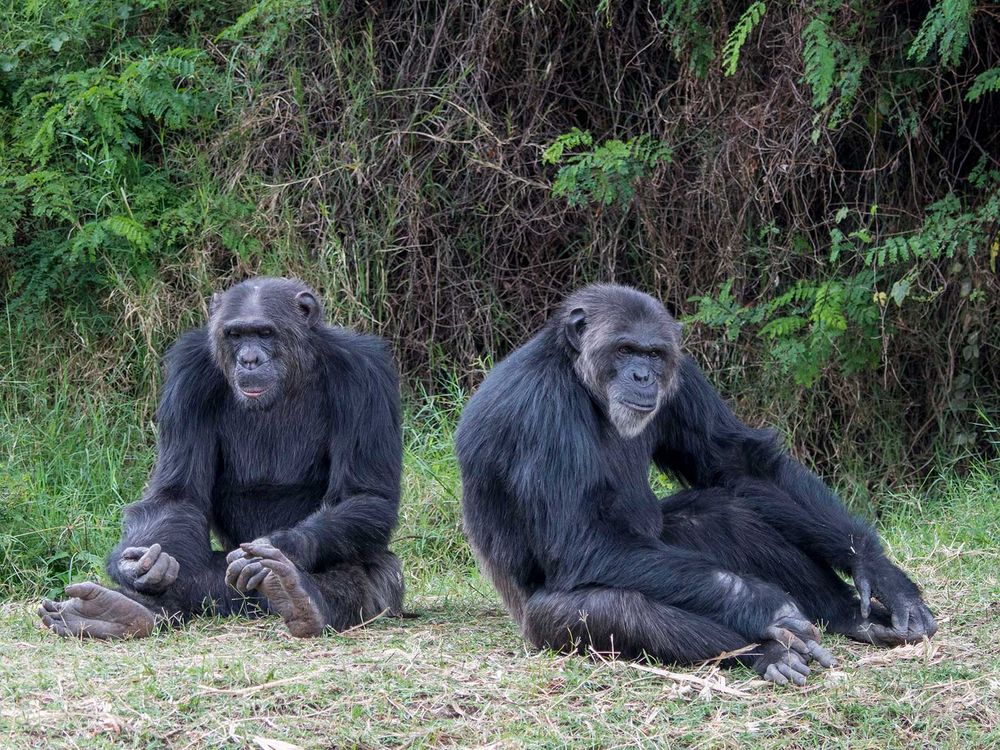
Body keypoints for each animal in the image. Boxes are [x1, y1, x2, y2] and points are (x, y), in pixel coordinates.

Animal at [38, 276, 406, 640]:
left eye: (265, 333)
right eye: (236, 335)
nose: (249, 359)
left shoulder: (365, 375)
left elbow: (365, 494)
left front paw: (278, 546)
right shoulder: (188, 377)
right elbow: (176, 495)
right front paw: (140, 565)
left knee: (369, 573)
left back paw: (298, 595)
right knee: (190, 571)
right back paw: (114, 612)